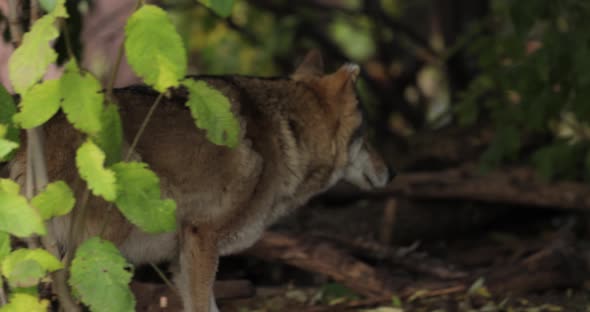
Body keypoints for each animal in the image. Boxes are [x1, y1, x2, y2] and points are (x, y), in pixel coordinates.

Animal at [8, 50, 394, 310]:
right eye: (368, 135)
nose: (391, 172)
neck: (287, 135)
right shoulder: (201, 239)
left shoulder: (182, 260)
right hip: (97, 249)